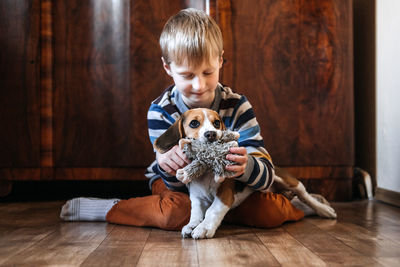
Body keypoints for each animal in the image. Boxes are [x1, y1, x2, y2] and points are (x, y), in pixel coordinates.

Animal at [155, 108, 336, 240]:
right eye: (194, 123)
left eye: (216, 123)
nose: (211, 134)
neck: (206, 173)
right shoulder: (197, 198)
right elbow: (197, 213)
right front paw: (193, 225)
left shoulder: (225, 195)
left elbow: (212, 211)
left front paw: (204, 227)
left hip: (286, 180)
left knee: (306, 196)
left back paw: (325, 210)